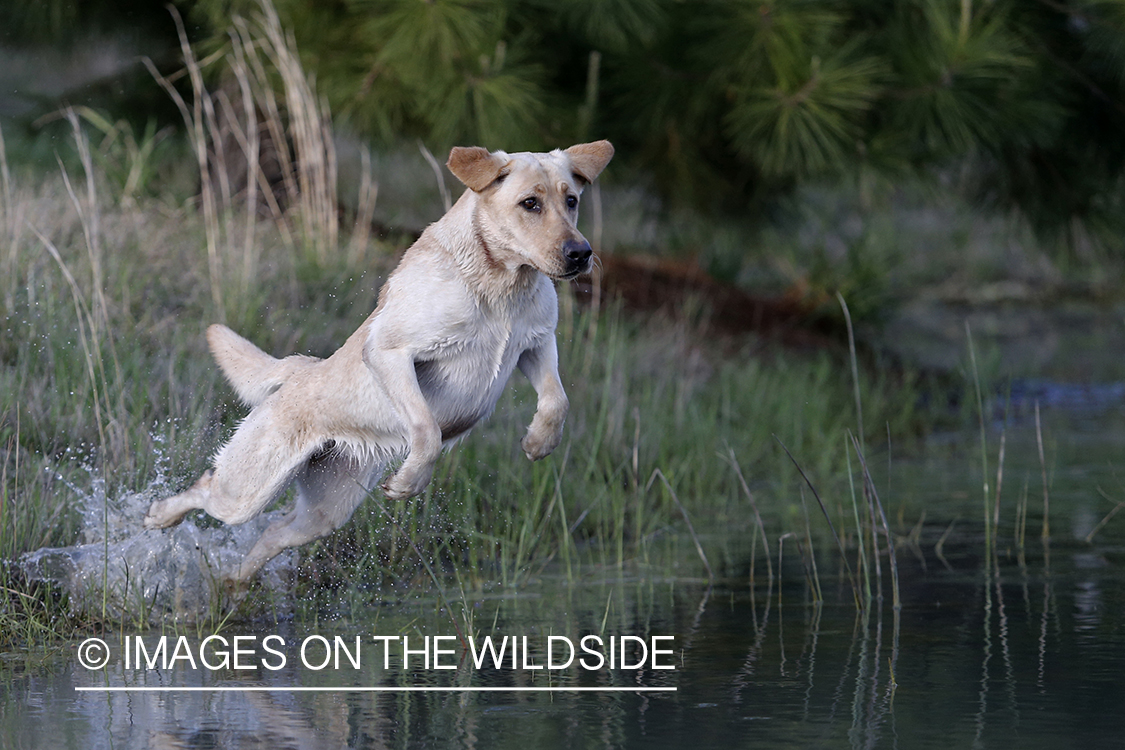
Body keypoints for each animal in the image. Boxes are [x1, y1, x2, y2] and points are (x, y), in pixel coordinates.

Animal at [145, 142, 616, 584]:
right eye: (529, 203)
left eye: (571, 200)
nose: (581, 253)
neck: (502, 284)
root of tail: (300, 370)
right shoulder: (391, 352)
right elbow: (426, 429)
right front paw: (408, 483)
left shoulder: (537, 343)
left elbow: (556, 400)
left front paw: (539, 443)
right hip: (248, 489)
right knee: (205, 489)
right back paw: (160, 517)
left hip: (325, 512)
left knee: (272, 534)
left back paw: (233, 585)